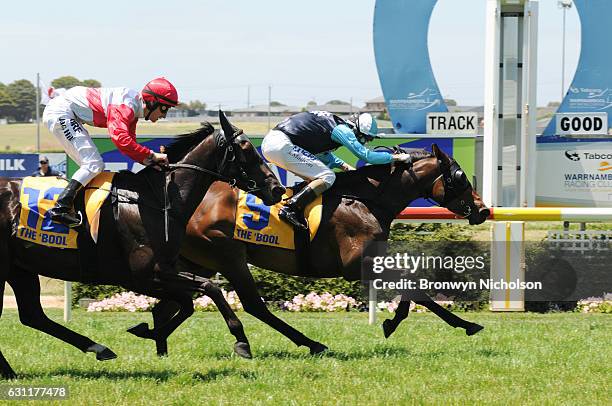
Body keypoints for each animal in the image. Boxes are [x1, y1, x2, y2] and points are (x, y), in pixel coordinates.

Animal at [0, 110, 284, 378]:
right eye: (246, 149)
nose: (277, 188)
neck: (157, 200)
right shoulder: (144, 275)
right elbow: (210, 288)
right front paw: (241, 341)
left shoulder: (155, 275)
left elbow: (188, 303)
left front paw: (150, 332)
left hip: (20, 269)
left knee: (32, 315)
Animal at [131, 143, 490, 356]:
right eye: (460, 177)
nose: (483, 210)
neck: (365, 201)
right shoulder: (357, 264)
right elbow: (414, 287)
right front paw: (464, 324)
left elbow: (413, 286)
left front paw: (394, 321)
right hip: (228, 256)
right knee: (252, 305)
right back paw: (306, 343)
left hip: (196, 261)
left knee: (170, 304)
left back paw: (157, 340)